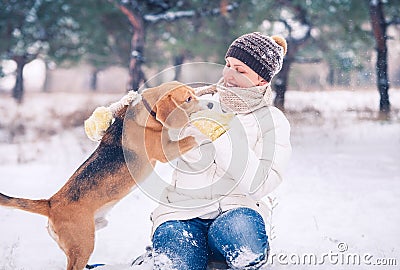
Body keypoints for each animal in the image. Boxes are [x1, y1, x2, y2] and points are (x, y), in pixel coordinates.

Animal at [0, 81, 202, 270]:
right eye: (188, 99)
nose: (207, 104)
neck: (147, 110)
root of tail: (50, 203)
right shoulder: (165, 151)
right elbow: (191, 137)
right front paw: (200, 132)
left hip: (93, 231)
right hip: (83, 246)